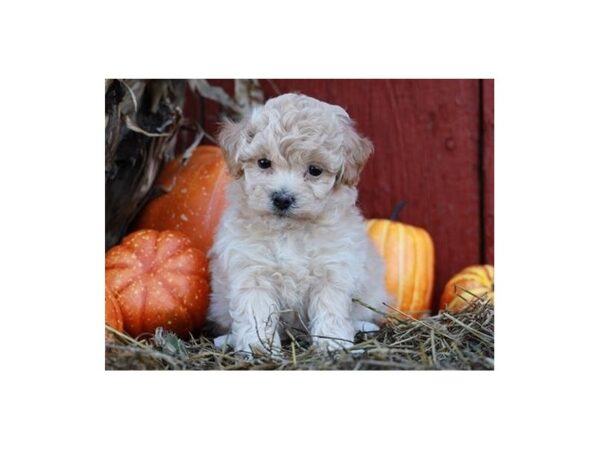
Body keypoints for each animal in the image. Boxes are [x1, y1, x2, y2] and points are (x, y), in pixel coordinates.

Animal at [209, 94, 392, 356]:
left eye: (314, 170)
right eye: (264, 163)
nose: (282, 198)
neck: (289, 230)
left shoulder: (333, 269)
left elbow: (330, 309)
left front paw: (332, 344)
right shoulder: (251, 270)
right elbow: (255, 311)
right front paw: (259, 347)